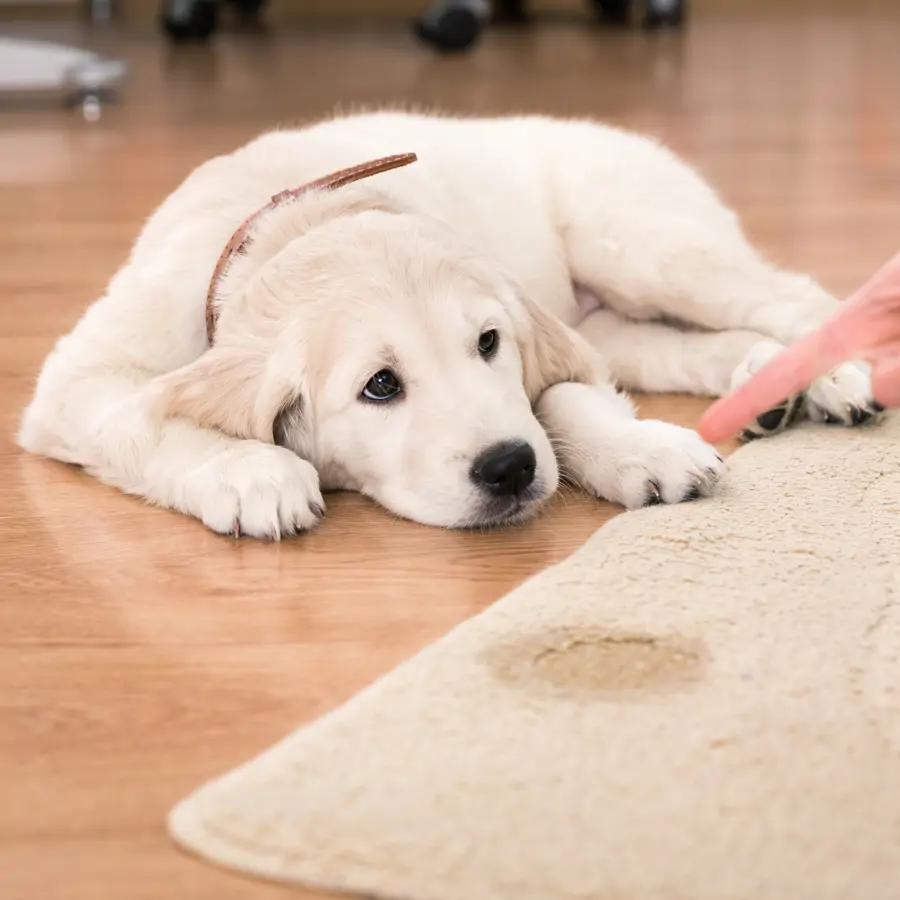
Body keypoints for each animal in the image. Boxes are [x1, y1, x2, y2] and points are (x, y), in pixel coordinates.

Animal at [17, 110, 884, 536]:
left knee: (791, 295)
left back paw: (838, 377)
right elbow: (144, 419)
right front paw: (251, 472)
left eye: (488, 344)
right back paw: (766, 384)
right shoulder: (79, 379)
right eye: (380, 386)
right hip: (615, 314)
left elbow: (562, 400)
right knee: (686, 346)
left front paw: (639, 449)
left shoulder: (543, 341)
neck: (296, 220)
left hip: (641, 243)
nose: (509, 469)